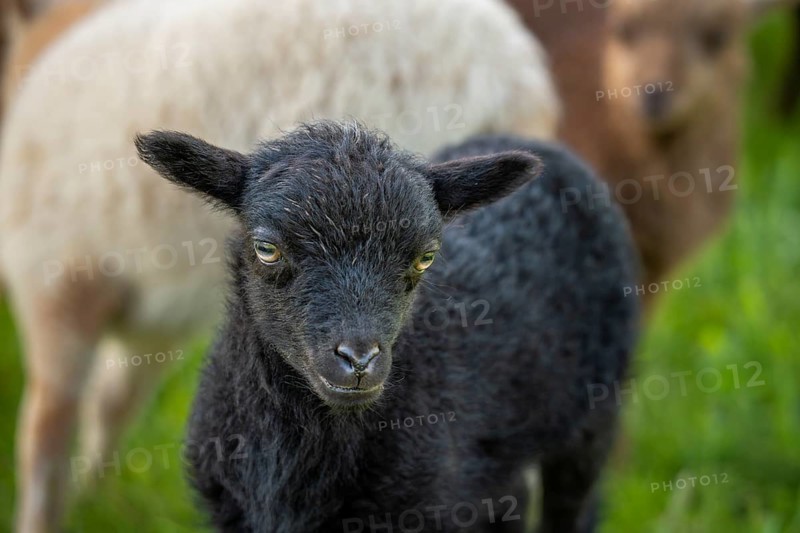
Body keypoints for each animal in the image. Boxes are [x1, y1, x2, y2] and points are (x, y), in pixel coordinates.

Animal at [0, 0, 559, 530]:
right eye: (266, 249)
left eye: (424, 256)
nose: (358, 360)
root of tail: (516, 76)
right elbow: (114, 401)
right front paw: (96, 494)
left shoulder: (55, 273)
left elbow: (44, 435)